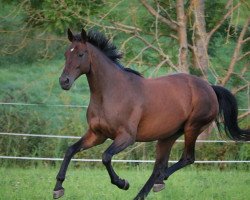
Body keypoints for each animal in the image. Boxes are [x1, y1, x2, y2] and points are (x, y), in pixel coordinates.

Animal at [52, 28, 248, 200]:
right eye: (66, 54)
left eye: (81, 54)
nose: (64, 81)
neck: (110, 93)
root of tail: (210, 88)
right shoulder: (97, 135)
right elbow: (70, 150)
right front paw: (58, 188)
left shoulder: (126, 137)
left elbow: (106, 157)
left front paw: (123, 183)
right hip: (168, 136)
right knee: (159, 166)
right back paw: (146, 191)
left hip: (192, 128)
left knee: (185, 159)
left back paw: (160, 181)